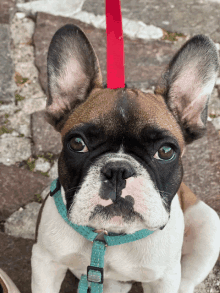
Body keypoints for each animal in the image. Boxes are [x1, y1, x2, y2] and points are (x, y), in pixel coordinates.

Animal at [31, 25, 220, 292]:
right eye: (77, 143)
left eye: (166, 151)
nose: (118, 170)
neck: (108, 236)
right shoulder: (46, 261)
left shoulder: (163, 279)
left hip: (209, 228)